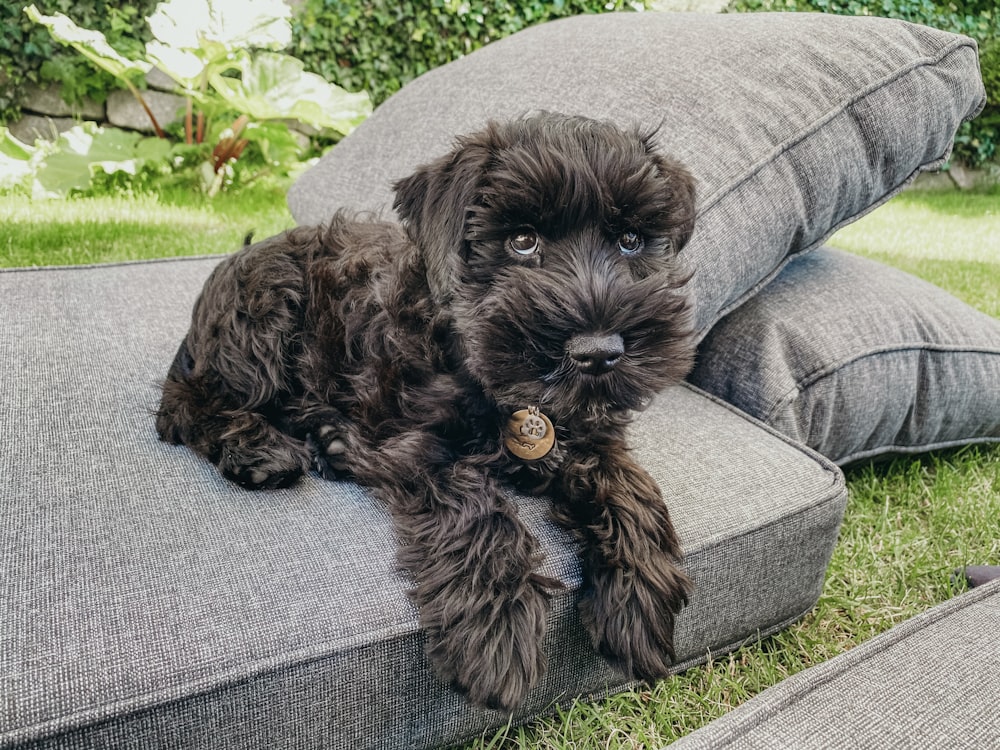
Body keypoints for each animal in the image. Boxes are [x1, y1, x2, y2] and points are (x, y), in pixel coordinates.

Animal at [160, 114, 700, 712]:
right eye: (521, 240)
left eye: (630, 241)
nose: (598, 352)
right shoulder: (416, 445)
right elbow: (475, 505)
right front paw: (496, 628)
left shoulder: (594, 432)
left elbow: (629, 484)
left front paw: (640, 595)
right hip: (263, 317)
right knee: (185, 403)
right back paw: (259, 449)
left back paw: (330, 443)